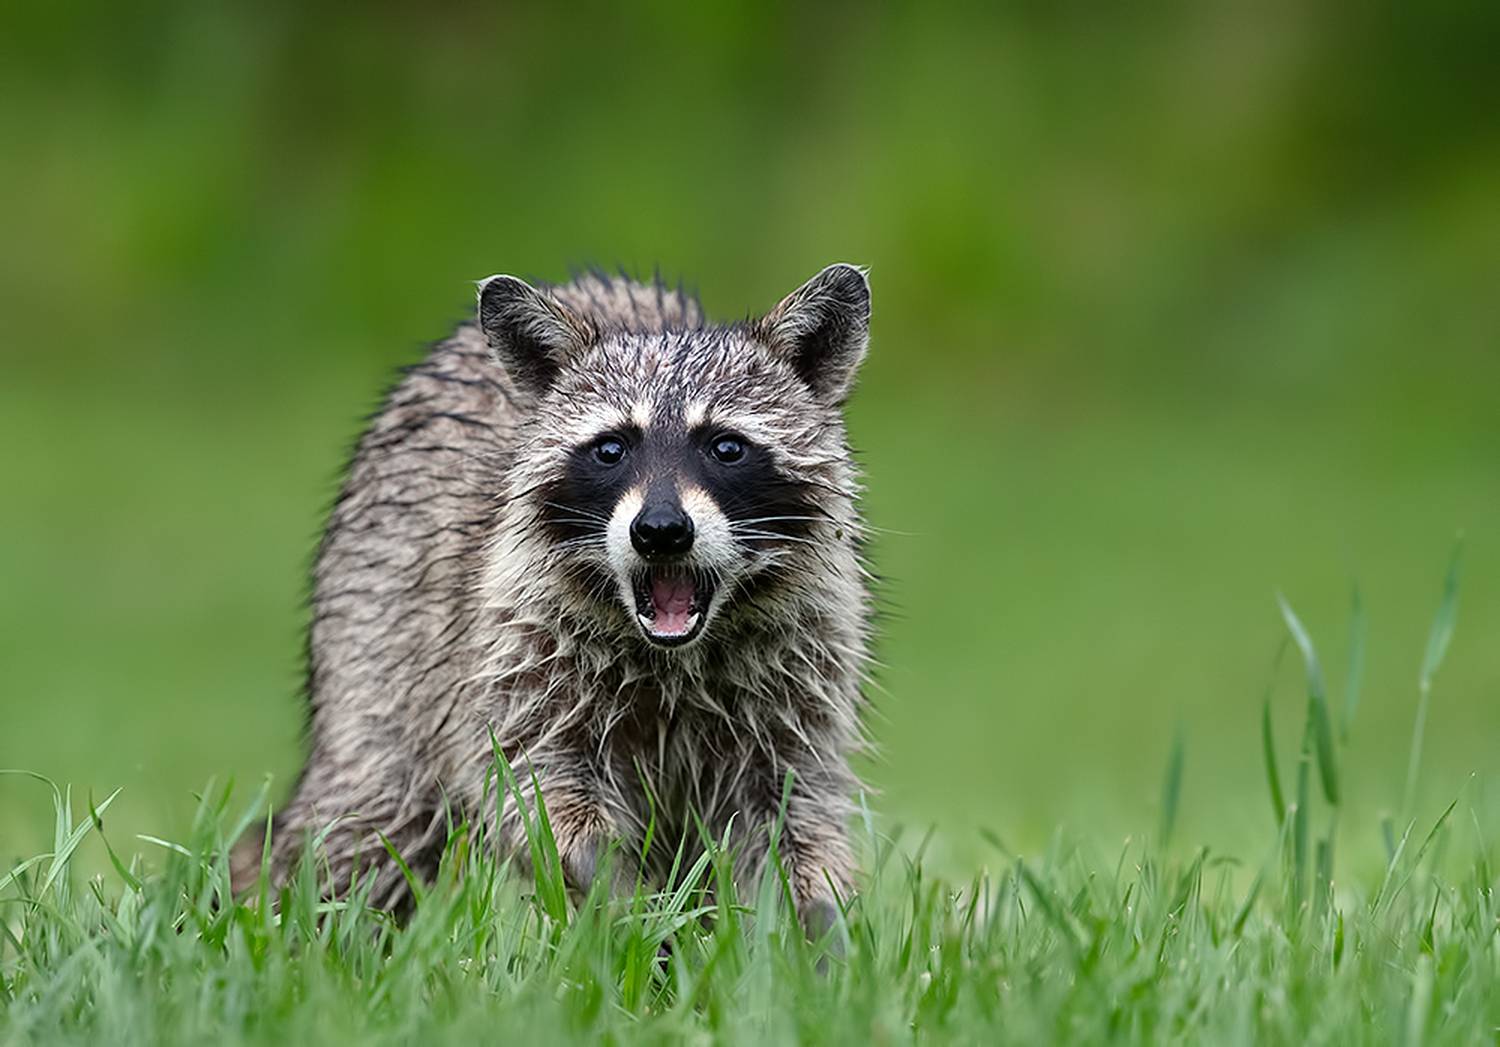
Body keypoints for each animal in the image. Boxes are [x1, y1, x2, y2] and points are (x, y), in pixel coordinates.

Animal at [233, 263, 874, 932]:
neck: (673, 653)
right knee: (367, 826)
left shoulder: (800, 674)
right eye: (611, 448)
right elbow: (530, 786)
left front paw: (821, 927)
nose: (660, 531)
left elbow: (794, 812)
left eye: (726, 446)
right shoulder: (514, 650)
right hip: (378, 641)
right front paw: (630, 900)